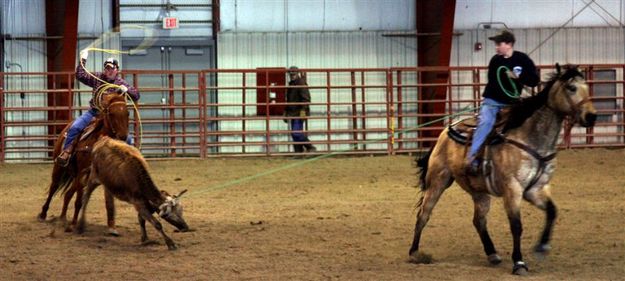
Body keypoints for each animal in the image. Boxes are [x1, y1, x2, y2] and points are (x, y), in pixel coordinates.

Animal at [37, 92, 130, 234]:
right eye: (111, 113)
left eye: (127, 113)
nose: (123, 137)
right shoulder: (82, 174)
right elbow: (79, 201)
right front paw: (74, 225)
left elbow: (108, 203)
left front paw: (112, 227)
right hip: (59, 168)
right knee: (54, 188)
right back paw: (43, 214)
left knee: (68, 194)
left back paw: (63, 218)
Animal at [408, 63, 596, 274]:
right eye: (571, 88)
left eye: (586, 87)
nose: (592, 116)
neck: (532, 139)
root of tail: (444, 133)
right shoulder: (513, 189)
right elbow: (516, 225)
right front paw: (519, 263)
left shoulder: (536, 189)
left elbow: (552, 211)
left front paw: (542, 246)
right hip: (438, 181)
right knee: (424, 214)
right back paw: (415, 253)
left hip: (479, 191)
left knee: (479, 220)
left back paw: (492, 254)